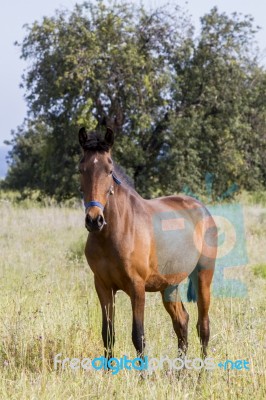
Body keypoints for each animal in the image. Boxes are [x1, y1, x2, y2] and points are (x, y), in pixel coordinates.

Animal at [78, 127, 217, 360]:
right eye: (81, 169)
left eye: (109, 170)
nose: (94, 220)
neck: (115, 233)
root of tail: (202, 209)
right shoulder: (103, 287)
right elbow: (108, 336)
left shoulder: (137, 287)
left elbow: (138, 337)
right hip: (169, 286)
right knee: (182, 322)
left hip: (203, 277)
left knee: (203, 326)